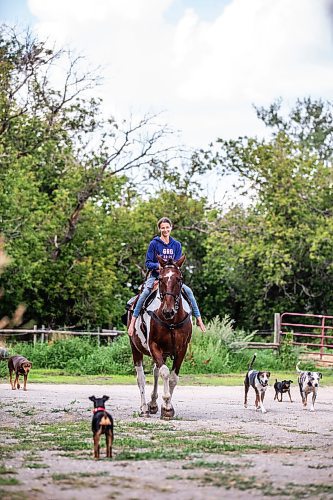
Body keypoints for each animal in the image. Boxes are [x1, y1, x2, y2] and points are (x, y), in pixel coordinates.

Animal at [129, 256, 193, 420]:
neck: (171, 321)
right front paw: (167, 406)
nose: (168, 311)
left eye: (179, 279)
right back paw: (144, 408)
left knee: (155, 372)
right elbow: (164, 372)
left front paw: (167, 406)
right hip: (135, 348)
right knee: (141, 378)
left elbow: (173, 378)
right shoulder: (154, 346)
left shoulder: (182, 349)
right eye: (161, 279)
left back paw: (152, 404)